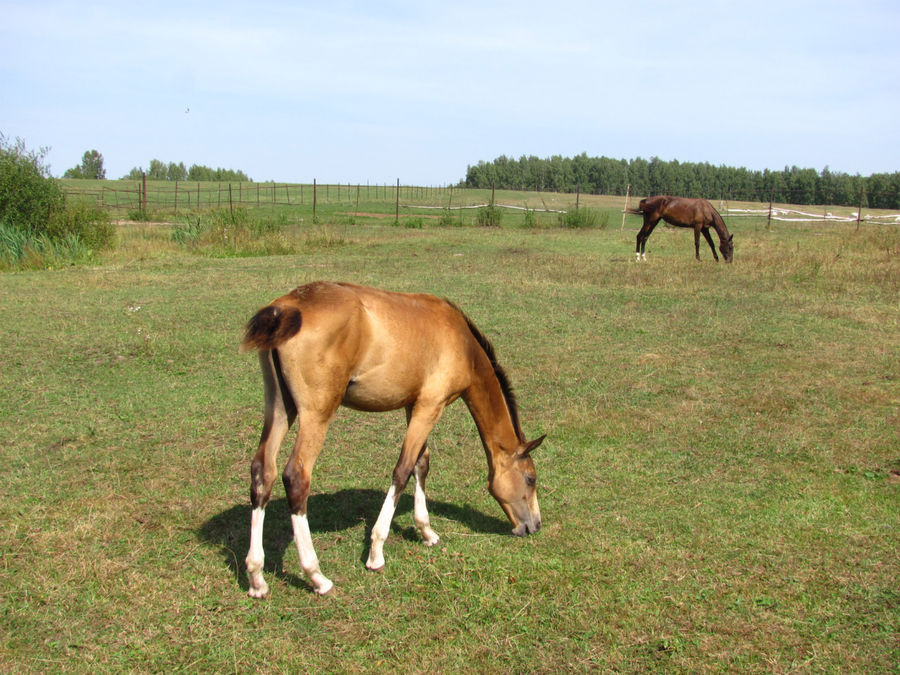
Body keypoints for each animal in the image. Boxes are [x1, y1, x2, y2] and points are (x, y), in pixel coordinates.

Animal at [239, 282, 544, 596]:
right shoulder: (431, 406)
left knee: (263, 472)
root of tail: (285, 307)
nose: (535, 525)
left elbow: (421, 464)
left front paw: (426, 531)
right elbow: (403, 470)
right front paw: (376, 551)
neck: (462, 344)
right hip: (316, 414)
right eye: (531, 479)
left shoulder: (415, 405)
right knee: (296, 478)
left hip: (280, 407)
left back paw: (257, 577)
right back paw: (317, 576)